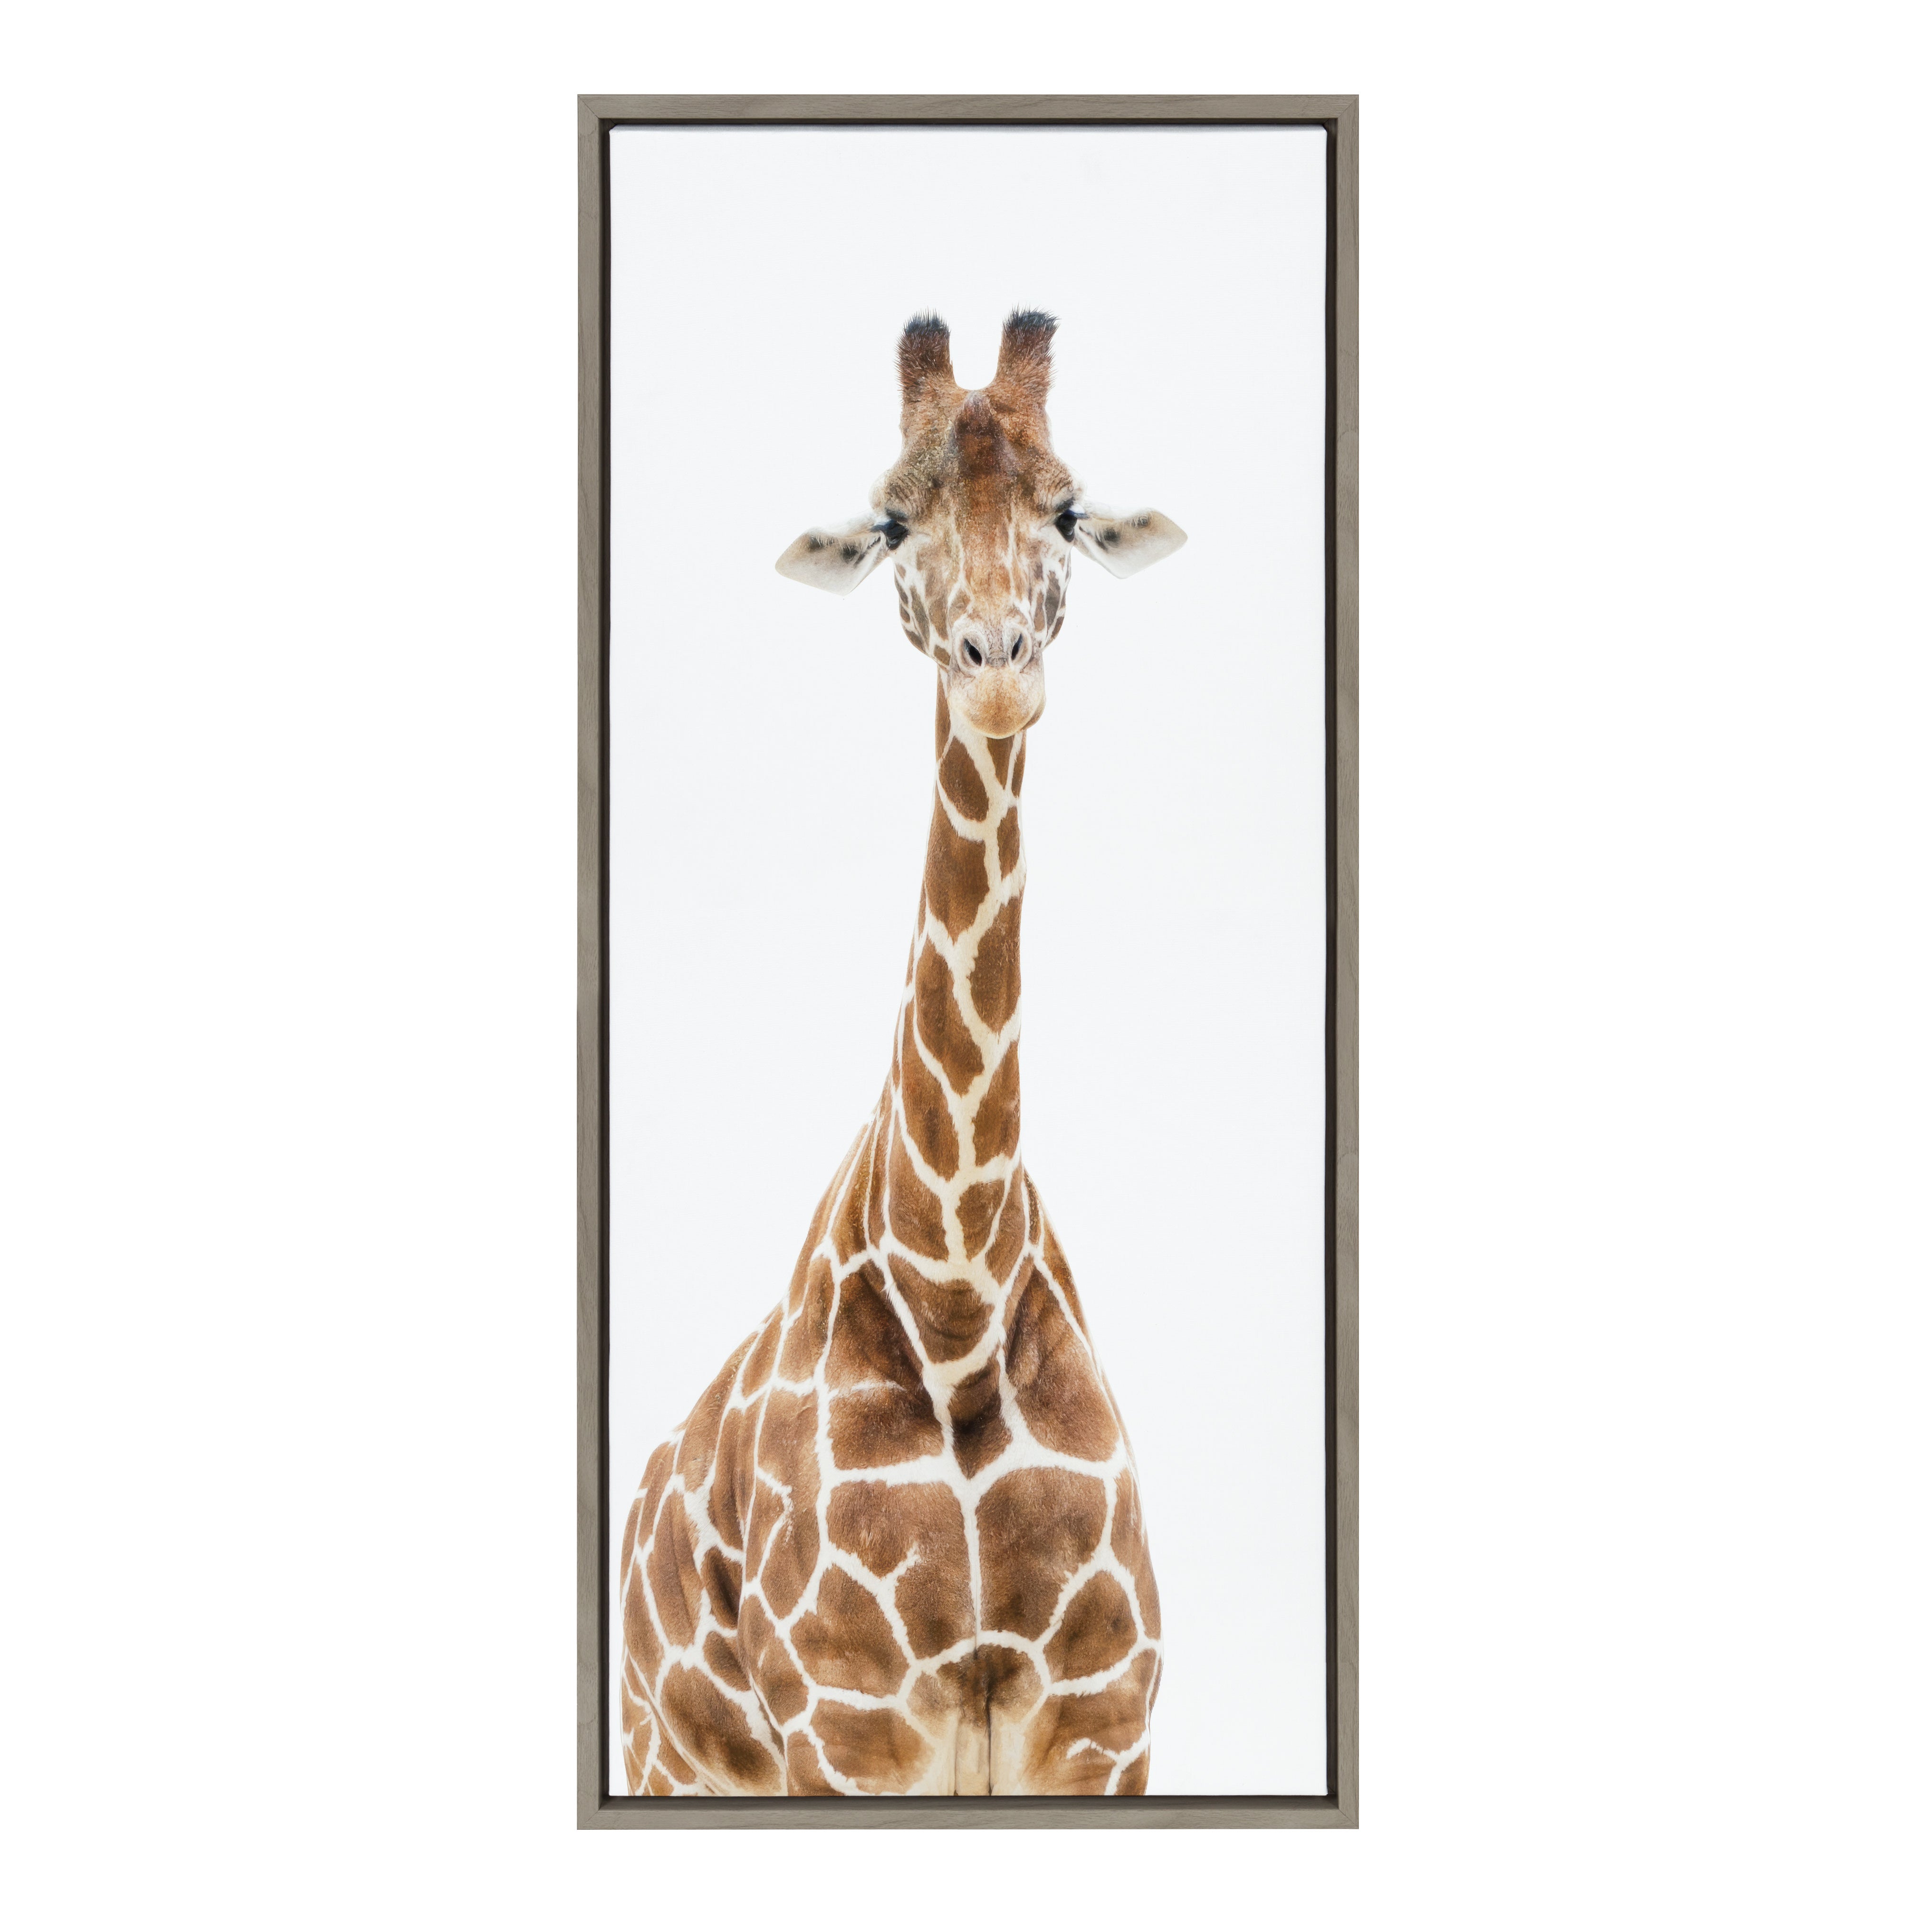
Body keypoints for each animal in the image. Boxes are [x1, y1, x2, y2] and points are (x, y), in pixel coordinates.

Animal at [618, 310, 1187, 1797]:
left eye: (1064, 509)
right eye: (889, 521)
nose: (997, 670)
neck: (956, 1293)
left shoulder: (1103, 1723)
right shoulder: (846, 1725)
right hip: (671, 1764)